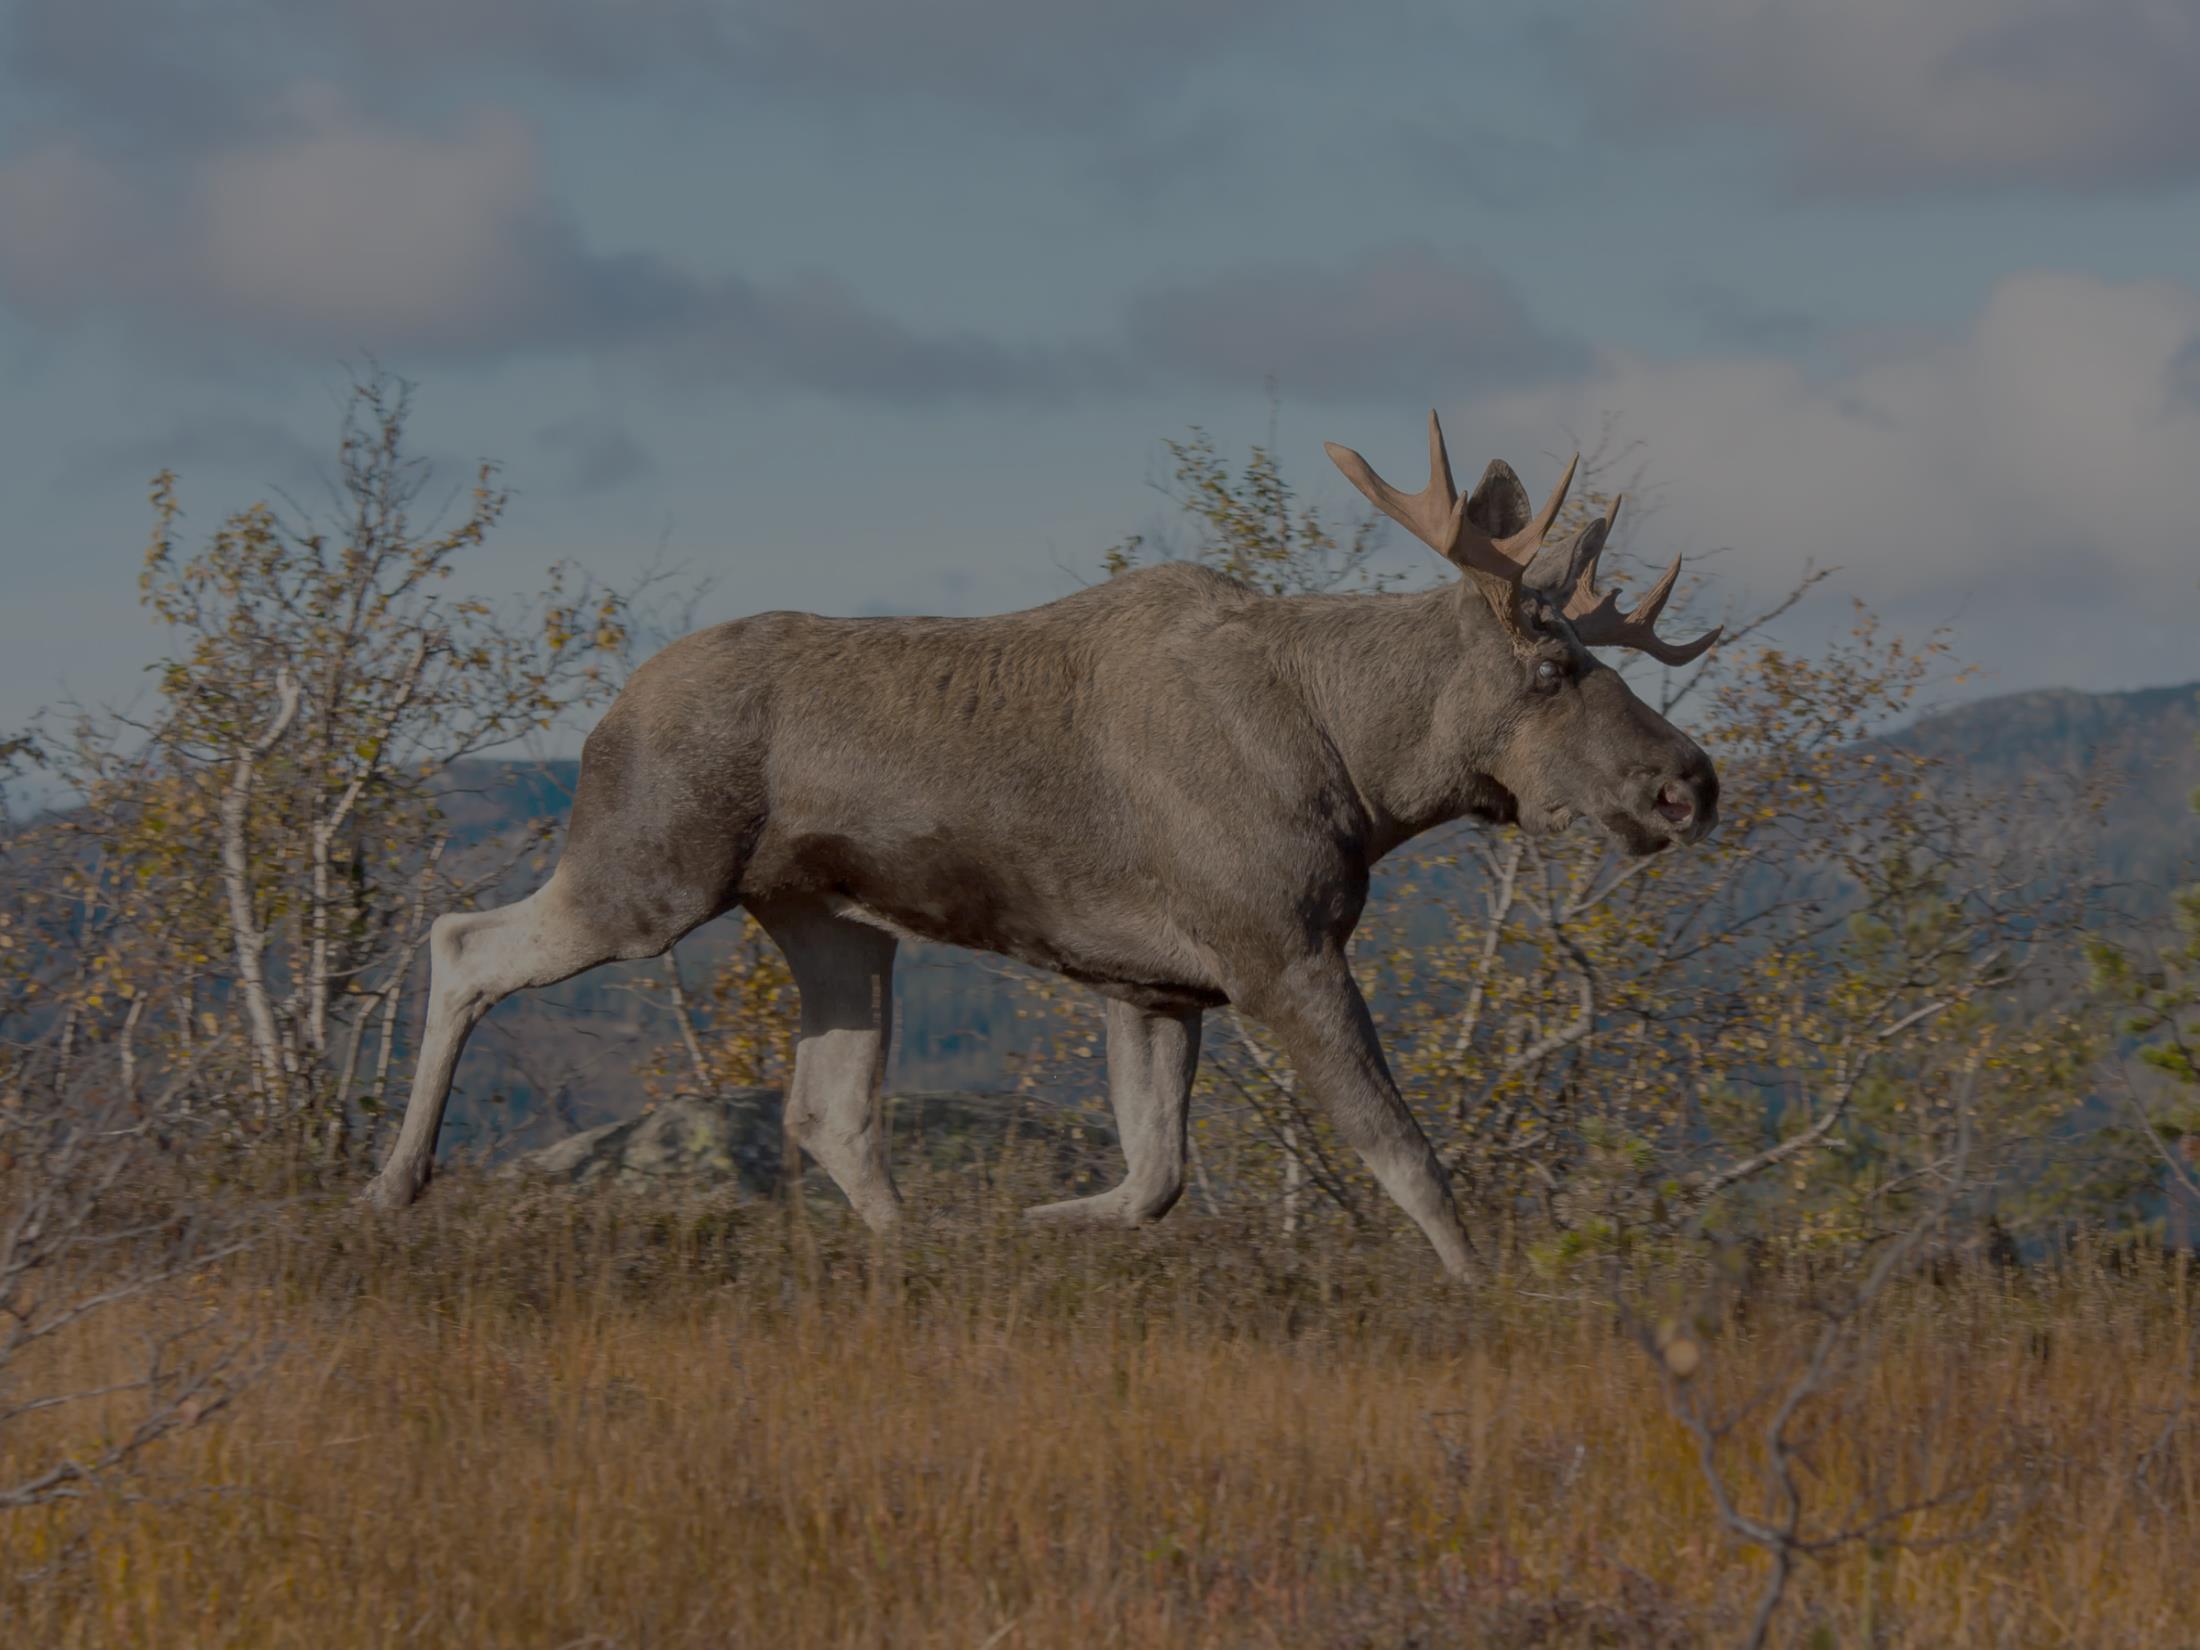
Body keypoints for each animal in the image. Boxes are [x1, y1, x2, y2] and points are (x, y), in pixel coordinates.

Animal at [369, 415, 1716, 1276]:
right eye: (1550, 668)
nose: (1687, 783)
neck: (1367, 772)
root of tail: (611, 708)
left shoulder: (1157, 984)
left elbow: (1152, 1178)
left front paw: (1027, 1226)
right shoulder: (1277, 954)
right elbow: (1407, 1158)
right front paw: (1489, 1299)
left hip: (829, 923)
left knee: (832, 1109)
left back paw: (918, 1256)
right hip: (648, 873)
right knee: (461, 941)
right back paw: (394, 1182)